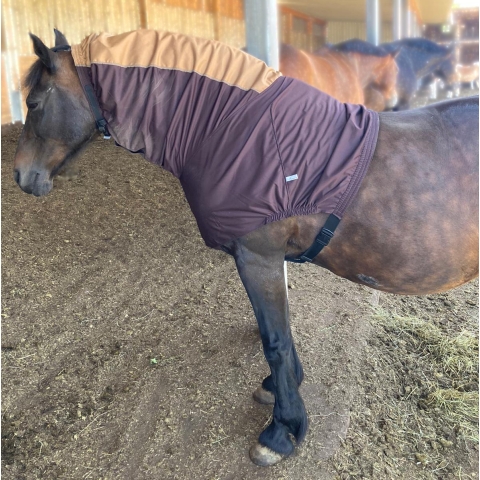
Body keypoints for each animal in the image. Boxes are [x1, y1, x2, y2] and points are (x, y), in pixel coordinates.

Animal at [13, 29, 478, 464]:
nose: (21, 176)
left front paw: (282, 431)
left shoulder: (259, 257)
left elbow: (275, 339)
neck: (233, 132)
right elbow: (282, 331)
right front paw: (279, 390)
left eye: (33, 103)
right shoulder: (268, 259)